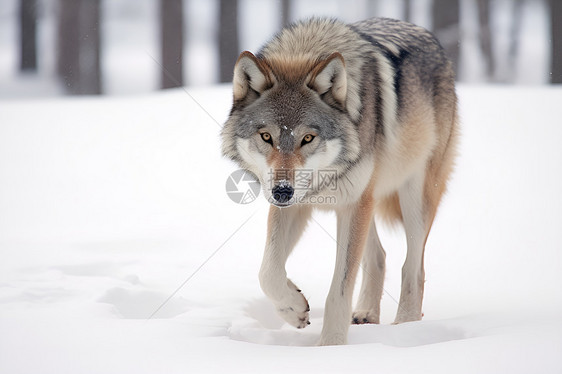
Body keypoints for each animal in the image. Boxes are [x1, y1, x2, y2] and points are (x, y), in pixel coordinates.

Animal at [221, 16, 458, 344]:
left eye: (308, 138)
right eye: (266, 137)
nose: (282, 191)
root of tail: (429, 36)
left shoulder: (352, 203)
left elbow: (339, 290)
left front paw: (332, 345)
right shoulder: (300, 206)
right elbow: (267, 272)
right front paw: (294, 309)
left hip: (411, 197)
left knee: (413, 268)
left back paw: (406, 329)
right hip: (366, 203)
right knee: (379, 256)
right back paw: (367, 314)